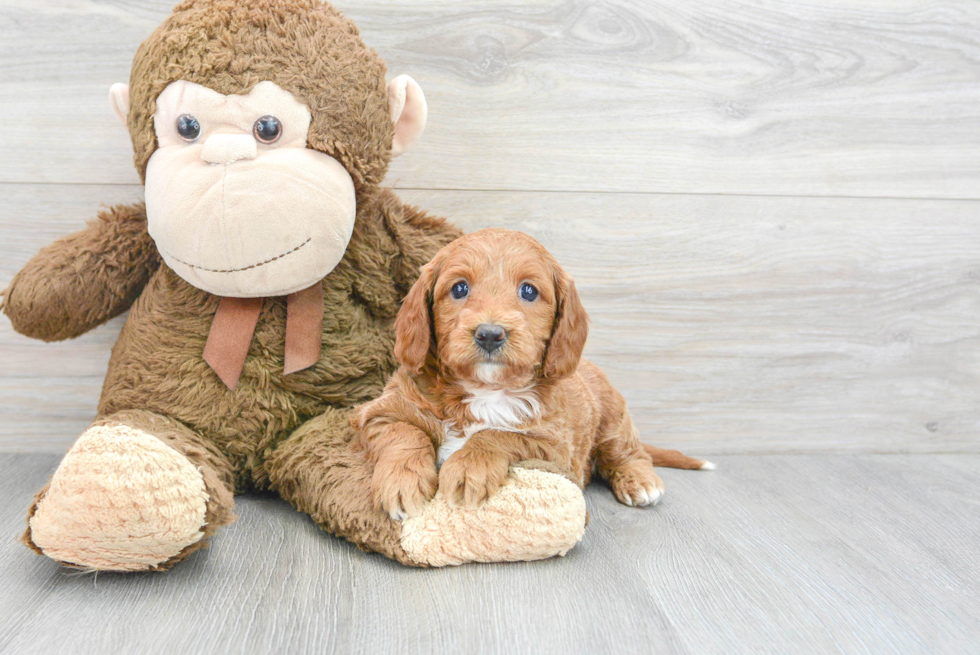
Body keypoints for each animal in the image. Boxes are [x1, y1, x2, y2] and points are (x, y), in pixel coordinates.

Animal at [354, 228, 712, 520]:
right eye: (459, 289)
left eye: (528, 291)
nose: (489, 334)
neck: (485, 388)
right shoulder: (380, 411)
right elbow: (404, 432)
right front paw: (402, 481)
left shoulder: (555, 447)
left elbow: (499, 434)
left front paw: (469, 466)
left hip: (614, 421)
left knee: (630, 454)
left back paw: (640, 480)